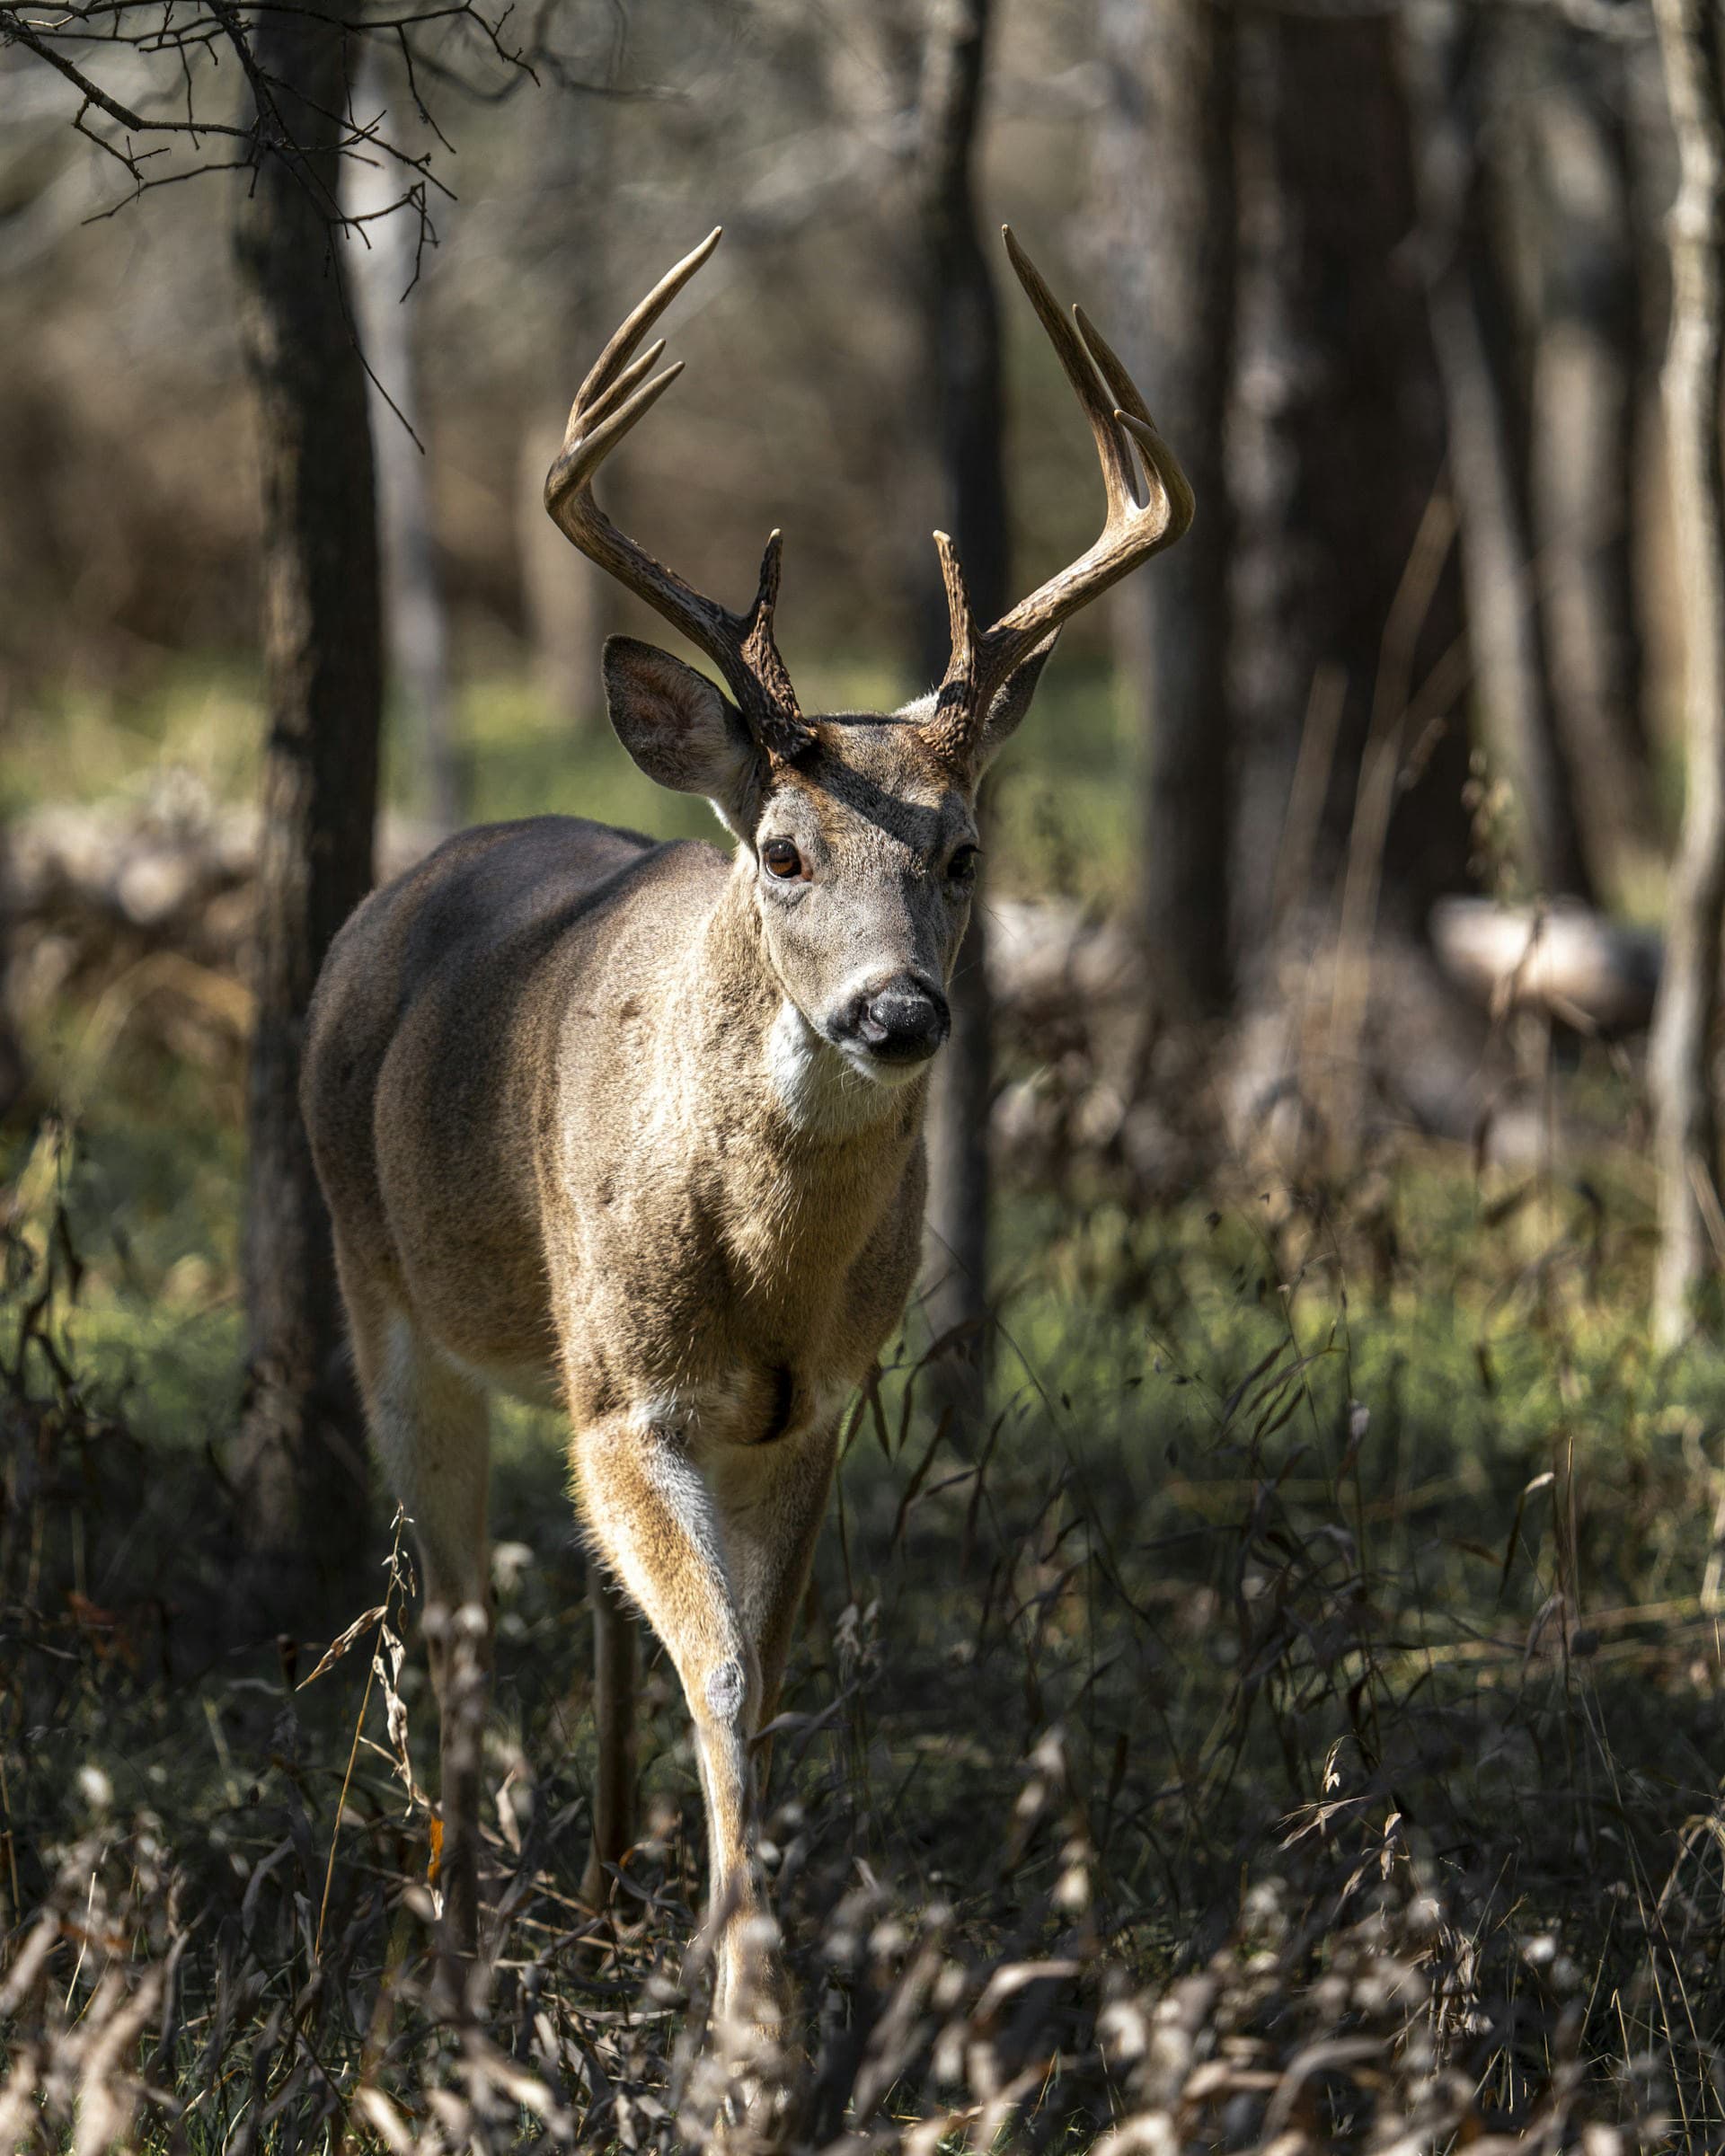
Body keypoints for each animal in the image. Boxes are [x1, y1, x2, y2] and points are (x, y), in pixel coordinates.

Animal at [300, 223, 1190, 2029]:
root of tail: (394, 894)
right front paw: (750, 2012)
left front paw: (727, 1953)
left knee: (578, 1596)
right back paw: (458, 1950)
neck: (764, 1274)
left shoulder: (817, 1405)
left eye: (967, 852)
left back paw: (600, 1888)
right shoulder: (624, 1393)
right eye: (785, 849)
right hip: (393, 1298)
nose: (899, 1014)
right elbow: (713, 1657)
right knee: (454, 1617)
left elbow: (761, 1668)